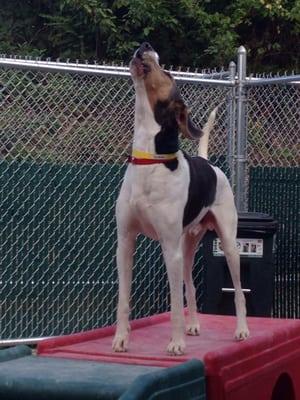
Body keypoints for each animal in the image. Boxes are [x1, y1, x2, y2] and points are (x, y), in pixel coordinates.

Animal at [111, 42, 250, 354]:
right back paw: (194, 324)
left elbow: (175, 304)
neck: (150, 159)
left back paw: (242, 330)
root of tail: (208, 162)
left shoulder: (168, 247)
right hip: (186, 249)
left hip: (228, 244)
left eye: (168, 73)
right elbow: (124, 299)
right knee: (192, 286)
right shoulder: (125, 243)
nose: (146, 44)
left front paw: (175, 344)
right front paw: (121, 338)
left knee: (238, 291)